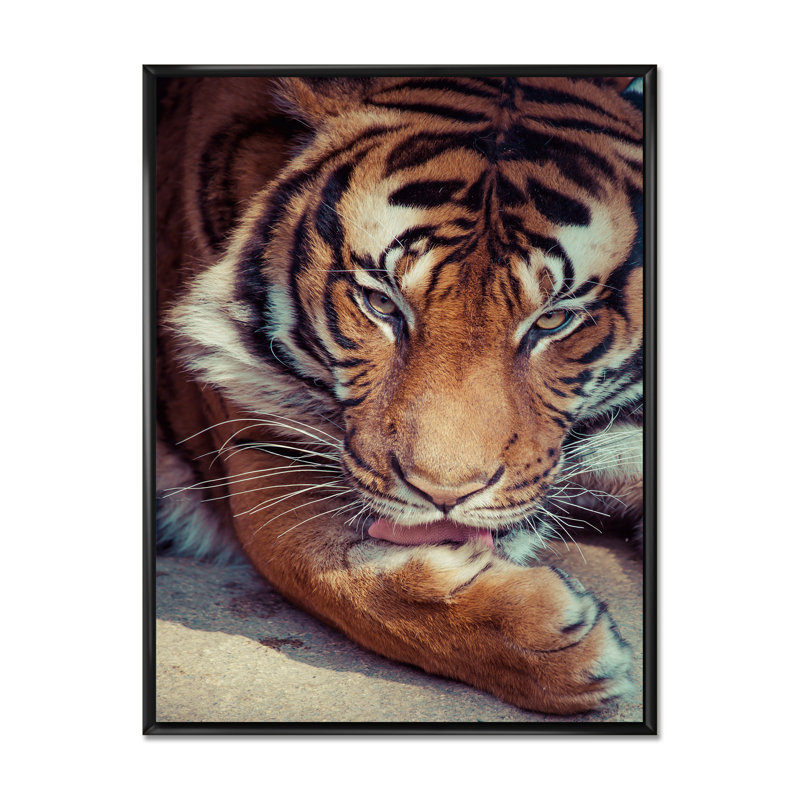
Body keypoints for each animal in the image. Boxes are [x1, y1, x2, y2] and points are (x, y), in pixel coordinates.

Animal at [155, 74, 645, 715]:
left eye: (553, 320)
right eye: (382, 304)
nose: (445, 496)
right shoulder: (259, 445)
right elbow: (322, 569)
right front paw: (559, 647)